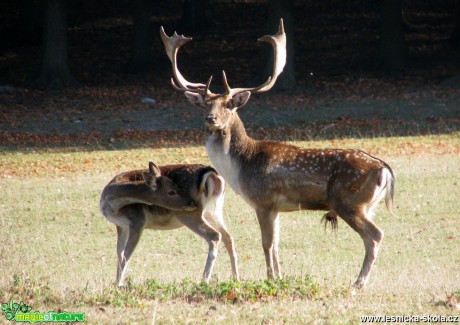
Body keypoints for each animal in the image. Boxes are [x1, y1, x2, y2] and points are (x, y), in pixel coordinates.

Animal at [99, 161, 237, 284]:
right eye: (172, 191)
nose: (192, 203)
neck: (112, 205)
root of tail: (212, 174)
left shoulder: (138, 221)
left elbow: (126, 256)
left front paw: (118, 285)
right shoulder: (121, 225)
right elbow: (119, 253)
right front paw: (116, 282)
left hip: (189, 215)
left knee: (215, 235)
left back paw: (204, 281)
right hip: (213, 211)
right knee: (228, 236)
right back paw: (236, 278)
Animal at [161, 19, 396, 286]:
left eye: (228, 106)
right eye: (206, 105)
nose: (211, 118)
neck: (241, 166)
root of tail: (384, 169)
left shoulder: (263, 200)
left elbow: (266, 243)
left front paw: (270, 278)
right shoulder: (277, 207)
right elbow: (276, 244)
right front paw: (279, 276)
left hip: (349, 201)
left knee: (375, 235)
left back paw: (358, 282)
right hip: (368, 204)